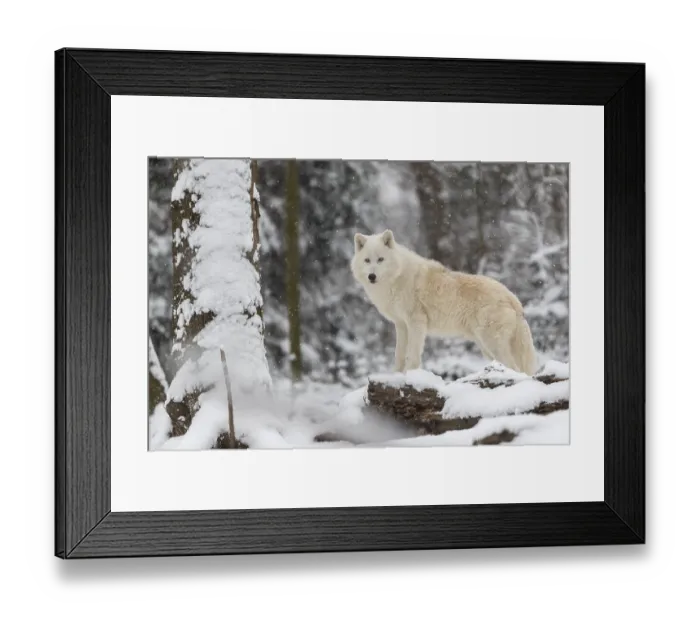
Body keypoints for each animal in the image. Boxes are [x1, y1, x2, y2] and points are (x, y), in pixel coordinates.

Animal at [350, 230, 538, 375]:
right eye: (367, 260)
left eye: (380, 259)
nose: (372, 276)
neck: (397, 278)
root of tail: (513, 298)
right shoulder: (401, 324)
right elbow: (399, 355)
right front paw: (396, 376)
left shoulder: (416, 322)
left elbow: (413, 356)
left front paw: (409, 375)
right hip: (486, 347)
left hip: (492, 343)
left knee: (516, 369)